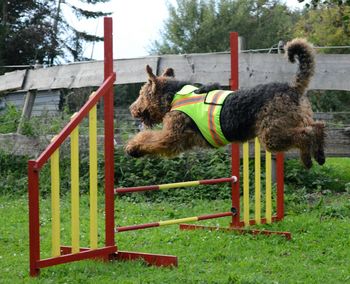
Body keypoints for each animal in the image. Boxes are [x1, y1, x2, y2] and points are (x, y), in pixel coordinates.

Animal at [125, 37, 326, 169]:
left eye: (141, 94)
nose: (132, 109)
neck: (175, 95)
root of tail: (293, 88)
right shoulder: (182, 141)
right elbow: (150, 138)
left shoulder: (172, 136)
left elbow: (149, 138)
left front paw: (132, 148)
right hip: (295, 121)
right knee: (318, 126)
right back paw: (319, 155)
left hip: (271, 135)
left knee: (306, 134)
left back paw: (308, 160)